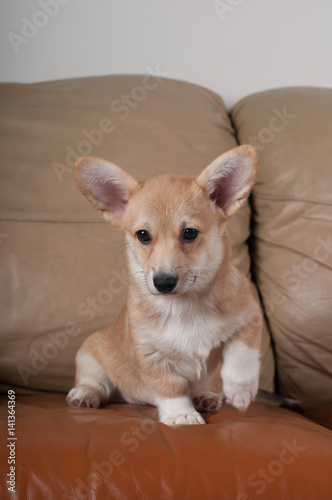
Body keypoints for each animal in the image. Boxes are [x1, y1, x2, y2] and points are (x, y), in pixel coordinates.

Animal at [67, 146, 262, 426]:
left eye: (190, 233)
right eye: (143, 235)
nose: (163, 283)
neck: (185, 304)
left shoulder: (250, 318)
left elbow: (242, 356)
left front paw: (241, 390)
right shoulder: (152, 354)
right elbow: (170, 388)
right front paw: (182, 415)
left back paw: (206, 396)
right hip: (89, 356)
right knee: (97, 385)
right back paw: (84, 395)